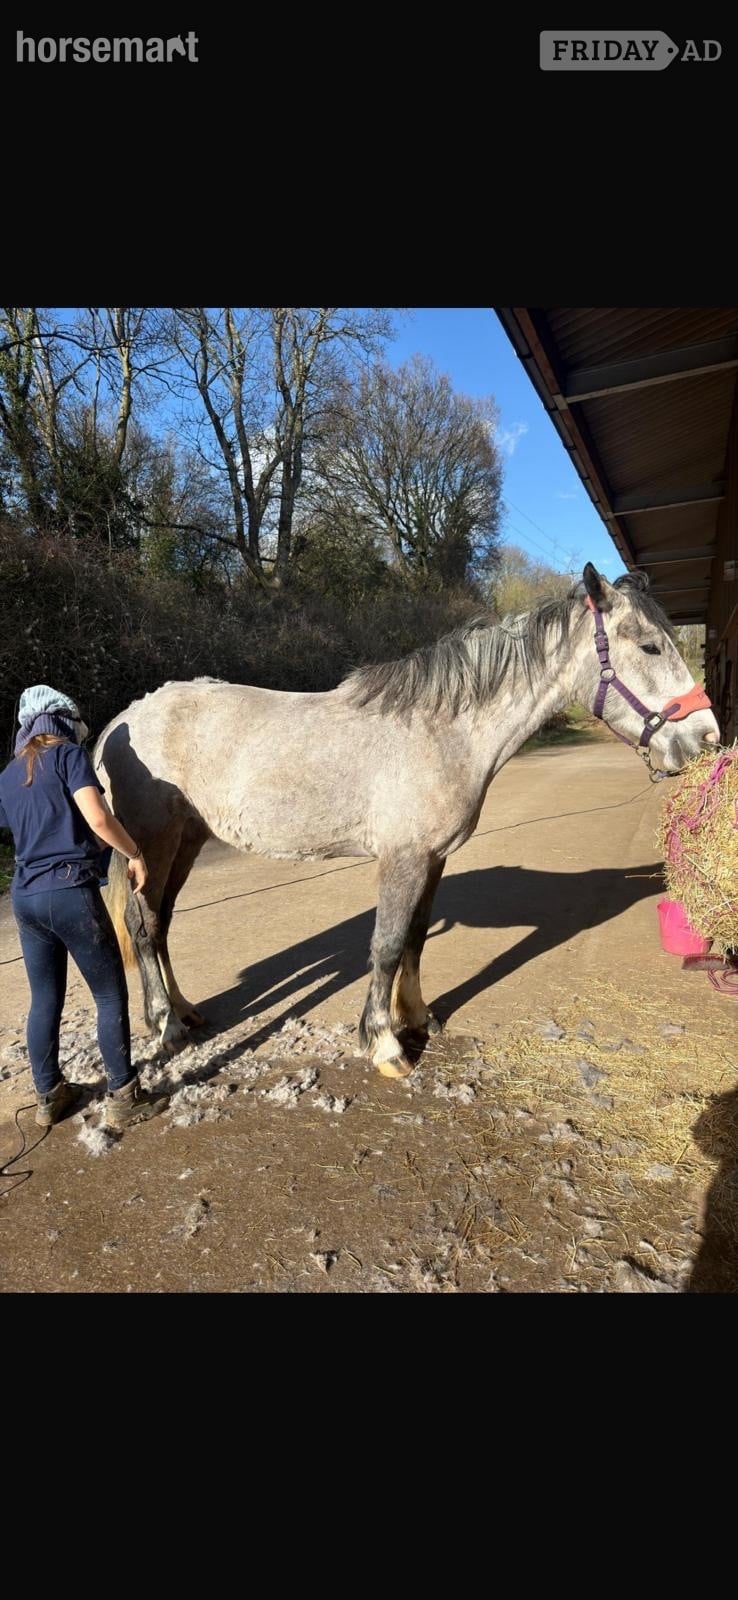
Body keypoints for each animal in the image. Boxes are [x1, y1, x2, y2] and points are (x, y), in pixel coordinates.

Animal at [94, 563, 719, 1077]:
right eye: (650, 646)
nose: (707, 738)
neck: (443, 730)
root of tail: (125, 719)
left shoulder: (433, 859)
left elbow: (416, 938)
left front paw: (417, 1018)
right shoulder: (404, 858)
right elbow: (388, 943)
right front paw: (385, 1045)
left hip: (187, 841)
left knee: (161, 923)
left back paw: (185, 1012)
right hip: (154, 845)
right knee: (143, 926)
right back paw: (166, 1027)